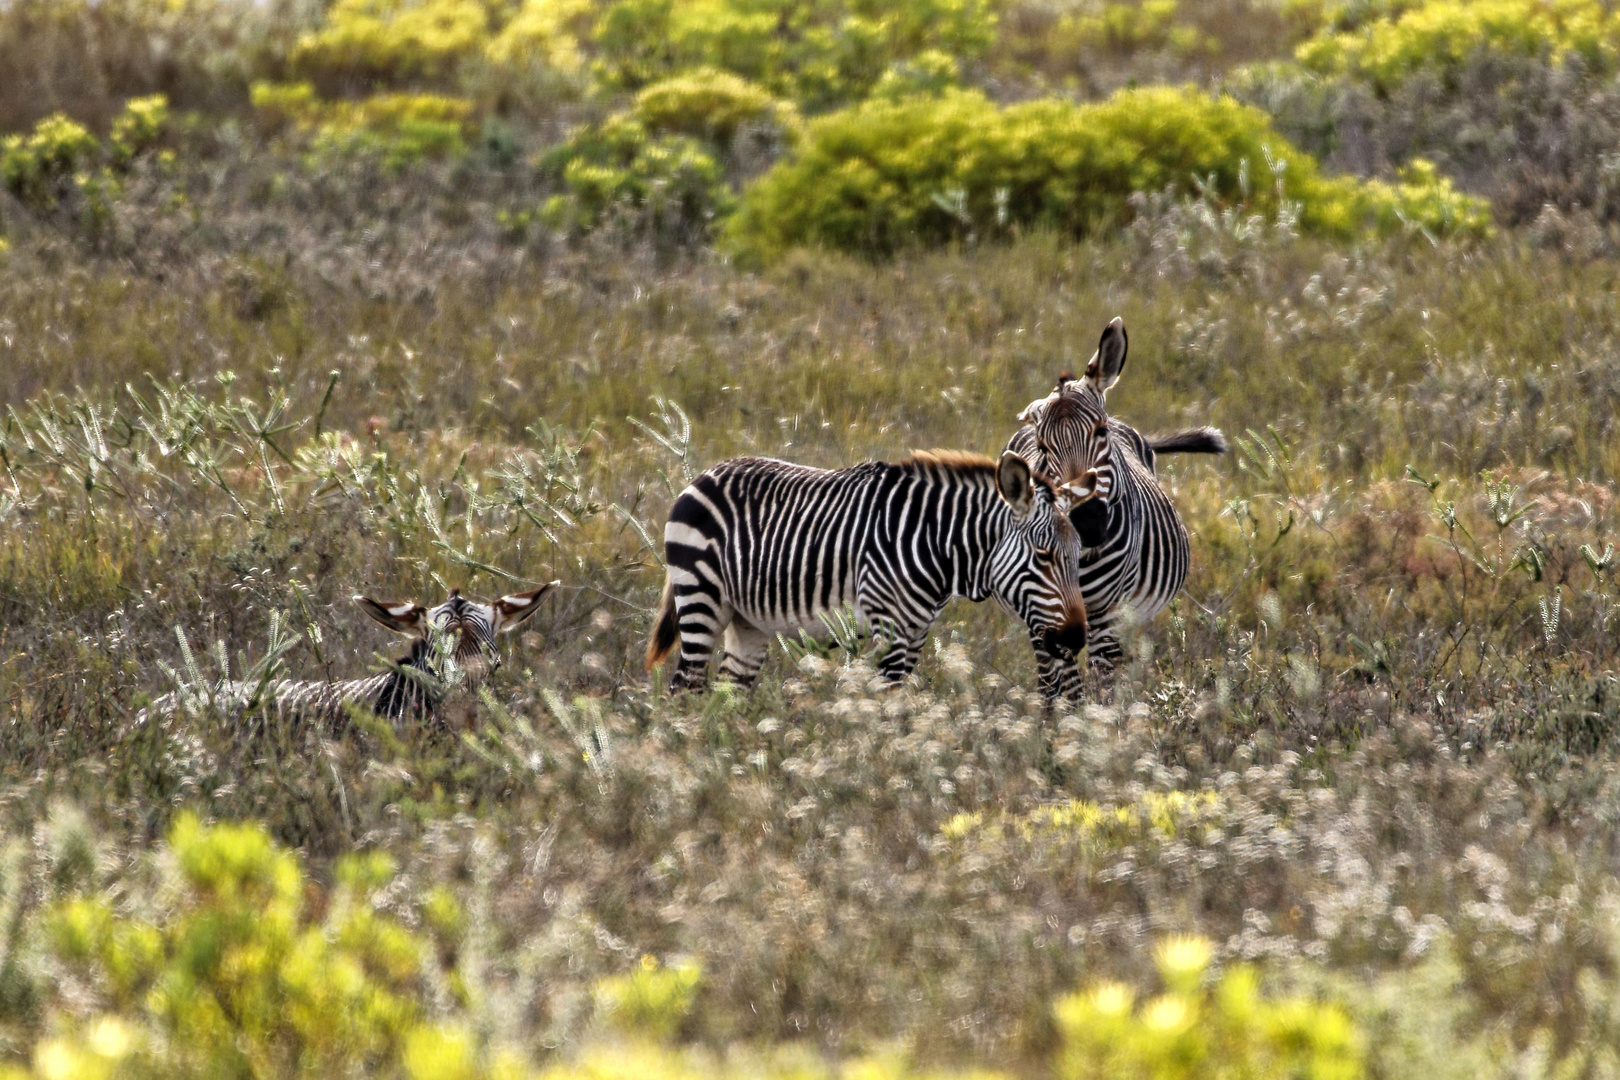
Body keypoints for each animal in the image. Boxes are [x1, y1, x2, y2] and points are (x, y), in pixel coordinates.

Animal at [641, 446, 1088, 702]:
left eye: (1078, 557)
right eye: (1044, 556)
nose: (1075, 640)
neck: (933, 541)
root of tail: (704, 475)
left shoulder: (917, 631)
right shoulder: (889, 627)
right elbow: (883, 707)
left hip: (747, 622)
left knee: (727, 695)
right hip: (700, 596)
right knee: (685, 687)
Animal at [1004, 317, 1218, 680]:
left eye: (1100, 432)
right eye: (1043, 449)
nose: (1088, 521)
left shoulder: (1108, 612)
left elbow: (1101, 683)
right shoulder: (1043, 611)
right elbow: (1059, 683)